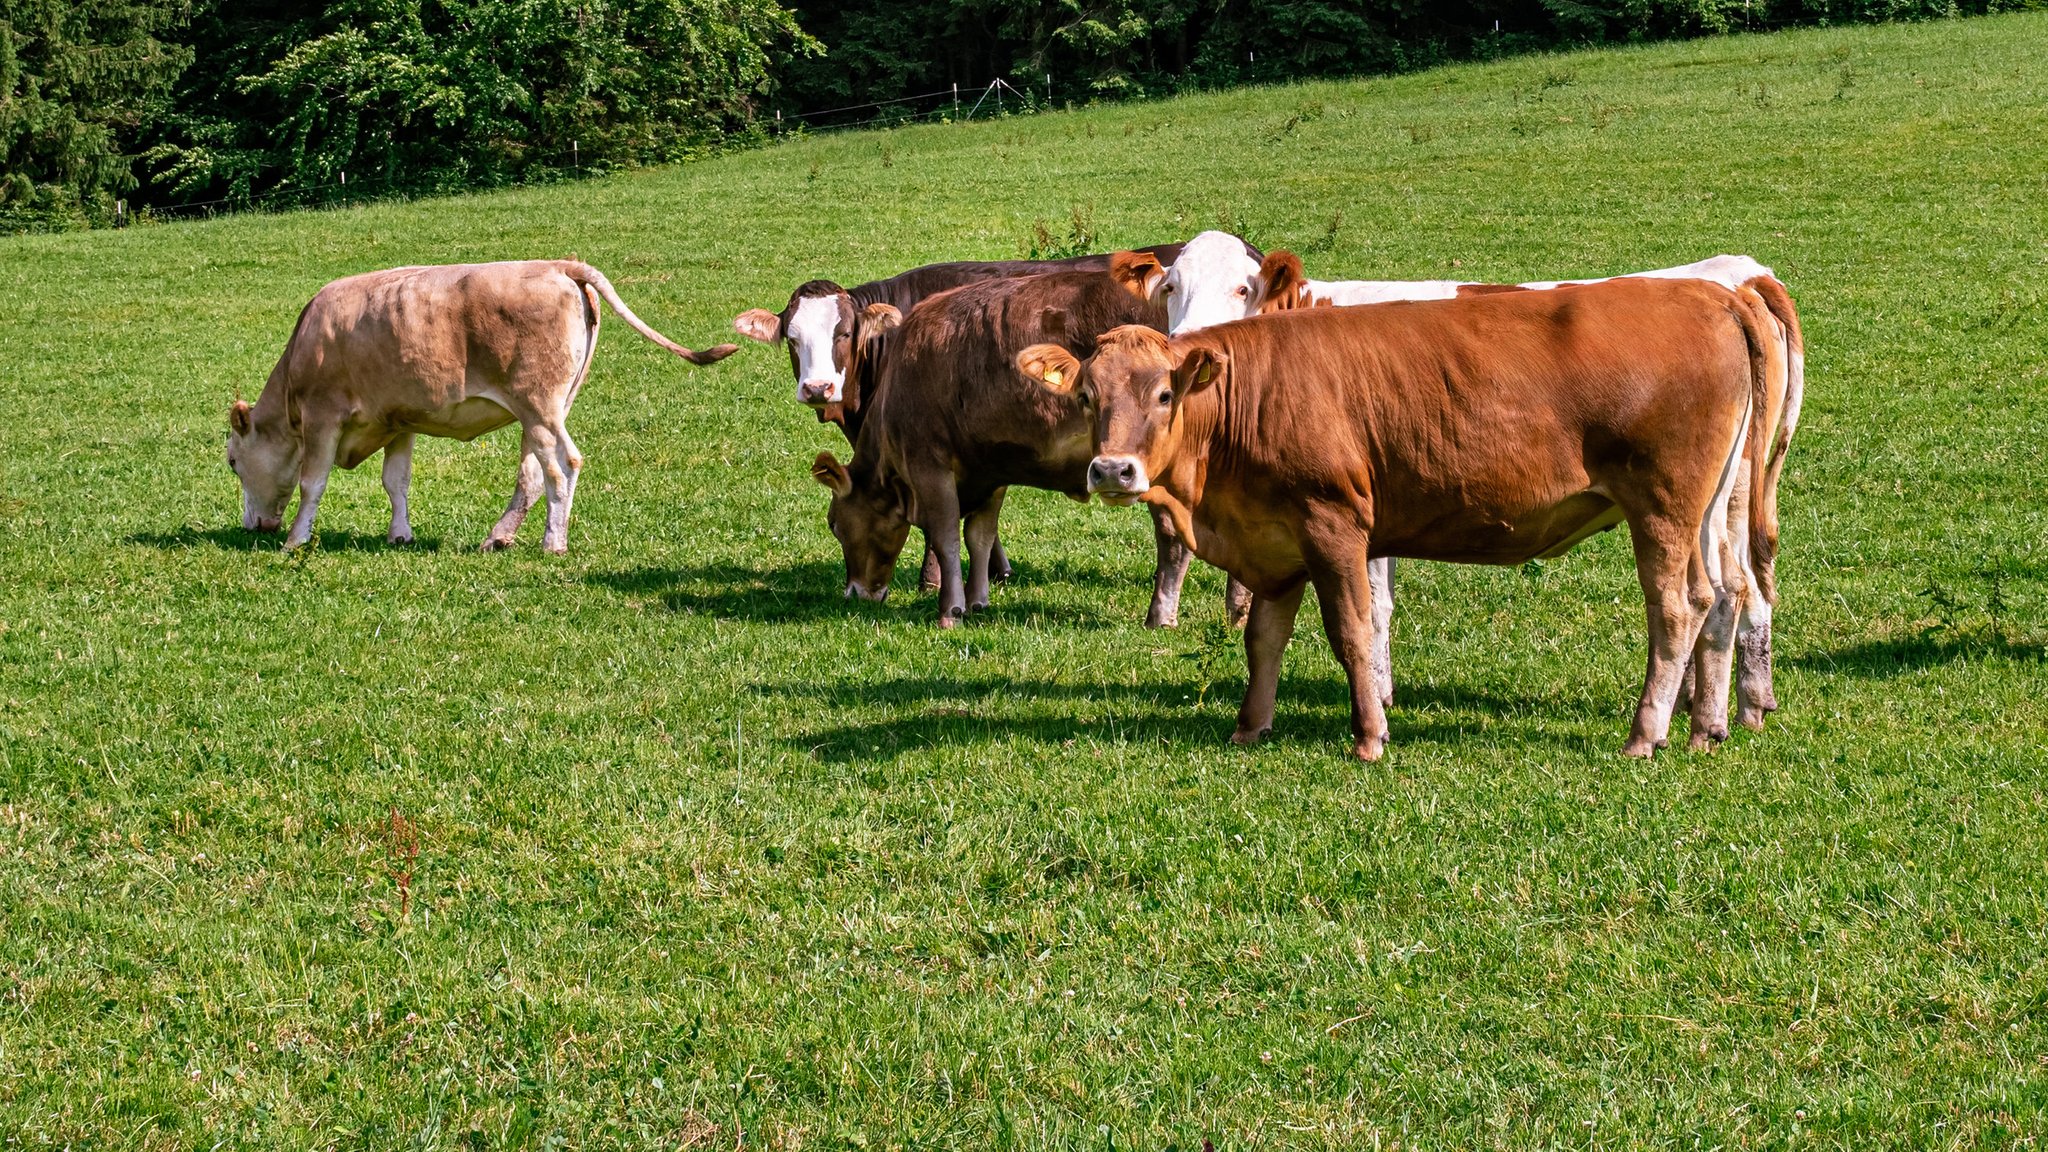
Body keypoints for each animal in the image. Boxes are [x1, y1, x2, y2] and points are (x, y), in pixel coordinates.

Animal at [227, 260, 737, 553]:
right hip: (547, 410)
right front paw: (400, 534)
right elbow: (396, 482)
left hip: (539, 403)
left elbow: (312, 482)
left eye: (233, 462)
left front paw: (295, 541)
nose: (254, 527)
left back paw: (553, 542)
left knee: (563, 465)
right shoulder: (399, 419)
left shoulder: (323, 416)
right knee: (533, 473)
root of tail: (558, 265)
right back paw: (499, 536)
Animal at [811, 266, 1171, 627]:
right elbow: (979, 537)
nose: (855, 593)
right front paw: (977, 600)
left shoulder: (929, 466)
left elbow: (946, 539)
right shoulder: (991, 470)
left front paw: (951, 610)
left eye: (833, 523)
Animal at [1015, 276, 1785, 758]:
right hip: (1705, 508)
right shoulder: (1272, 541)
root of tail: (1714, 292)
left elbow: (1354, 633)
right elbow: (1263, 639)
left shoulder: (1332, 524)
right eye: (1086, 396)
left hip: (1662, 504)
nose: (1113, 471)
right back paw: (1704, 726)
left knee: (1674, 608)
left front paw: (1369, 736)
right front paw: (1249, 727)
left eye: (1165, 393)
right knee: (1720, 595)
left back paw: (1645, 733)